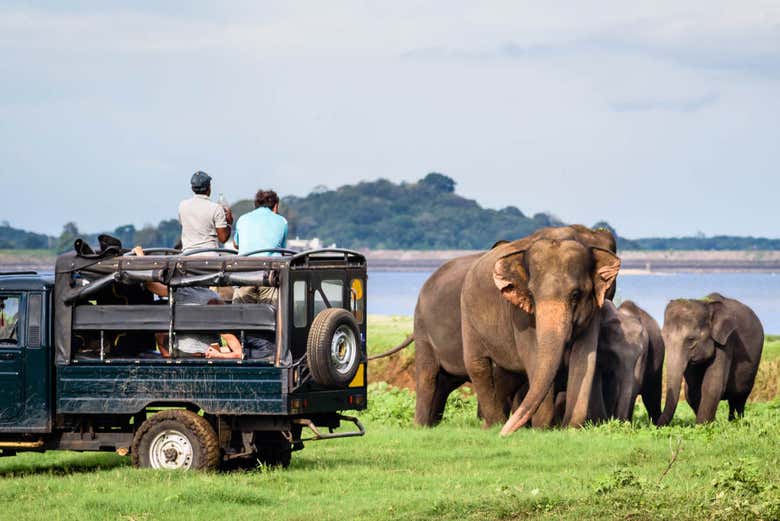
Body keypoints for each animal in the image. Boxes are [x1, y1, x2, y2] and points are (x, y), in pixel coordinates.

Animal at [412, 223, 620, 426]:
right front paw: (541, 428)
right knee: (464, 367)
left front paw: (569, 427)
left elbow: (585, 358)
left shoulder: (594, 309)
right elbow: (533, 357)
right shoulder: (519, 315)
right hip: (453, 319)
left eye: (576, 294)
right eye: (532, 295)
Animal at [656, 290, 764, 424]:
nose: (655, 424)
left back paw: (736, 422)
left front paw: (703, 426)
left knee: (739, 398)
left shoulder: (726, 341)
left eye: (691, 340)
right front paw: (709, 423)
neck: (706, 305)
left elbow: (712, 385)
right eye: (663, 338)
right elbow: (692, 391)